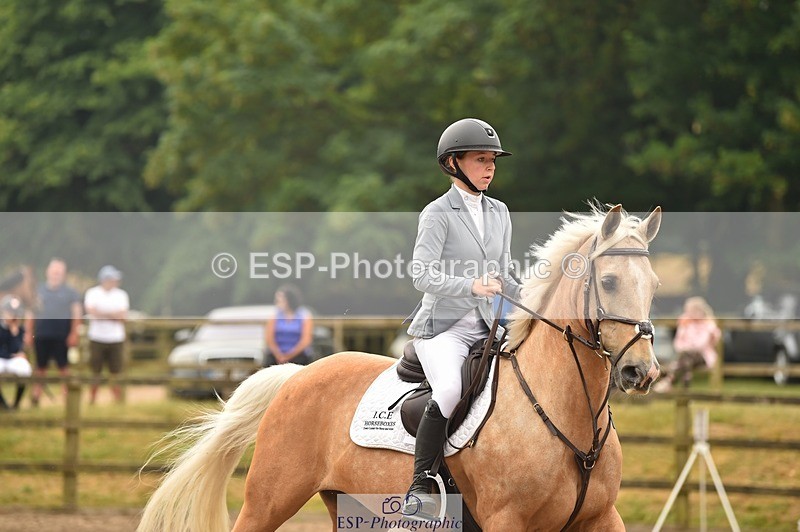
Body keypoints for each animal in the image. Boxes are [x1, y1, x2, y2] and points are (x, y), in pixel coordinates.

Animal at [138, 203, 663, 531]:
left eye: (654, 283)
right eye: (609, 281)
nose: (641, 372)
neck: (568, 417)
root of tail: (298, 374)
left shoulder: (603, 518)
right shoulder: (506, 520)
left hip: (349, 502)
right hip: (268, 501)